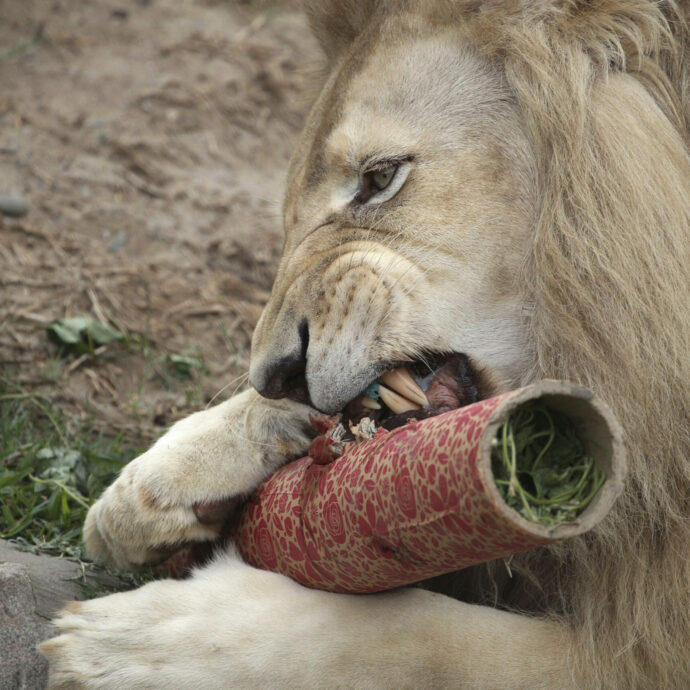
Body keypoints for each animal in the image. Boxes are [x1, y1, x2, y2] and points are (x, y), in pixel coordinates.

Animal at [40, 2, 684, 684]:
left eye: (380, 177)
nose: (278, 374)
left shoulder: (641, 648)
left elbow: (415, 637)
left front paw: (143, 643)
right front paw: (150, 486)